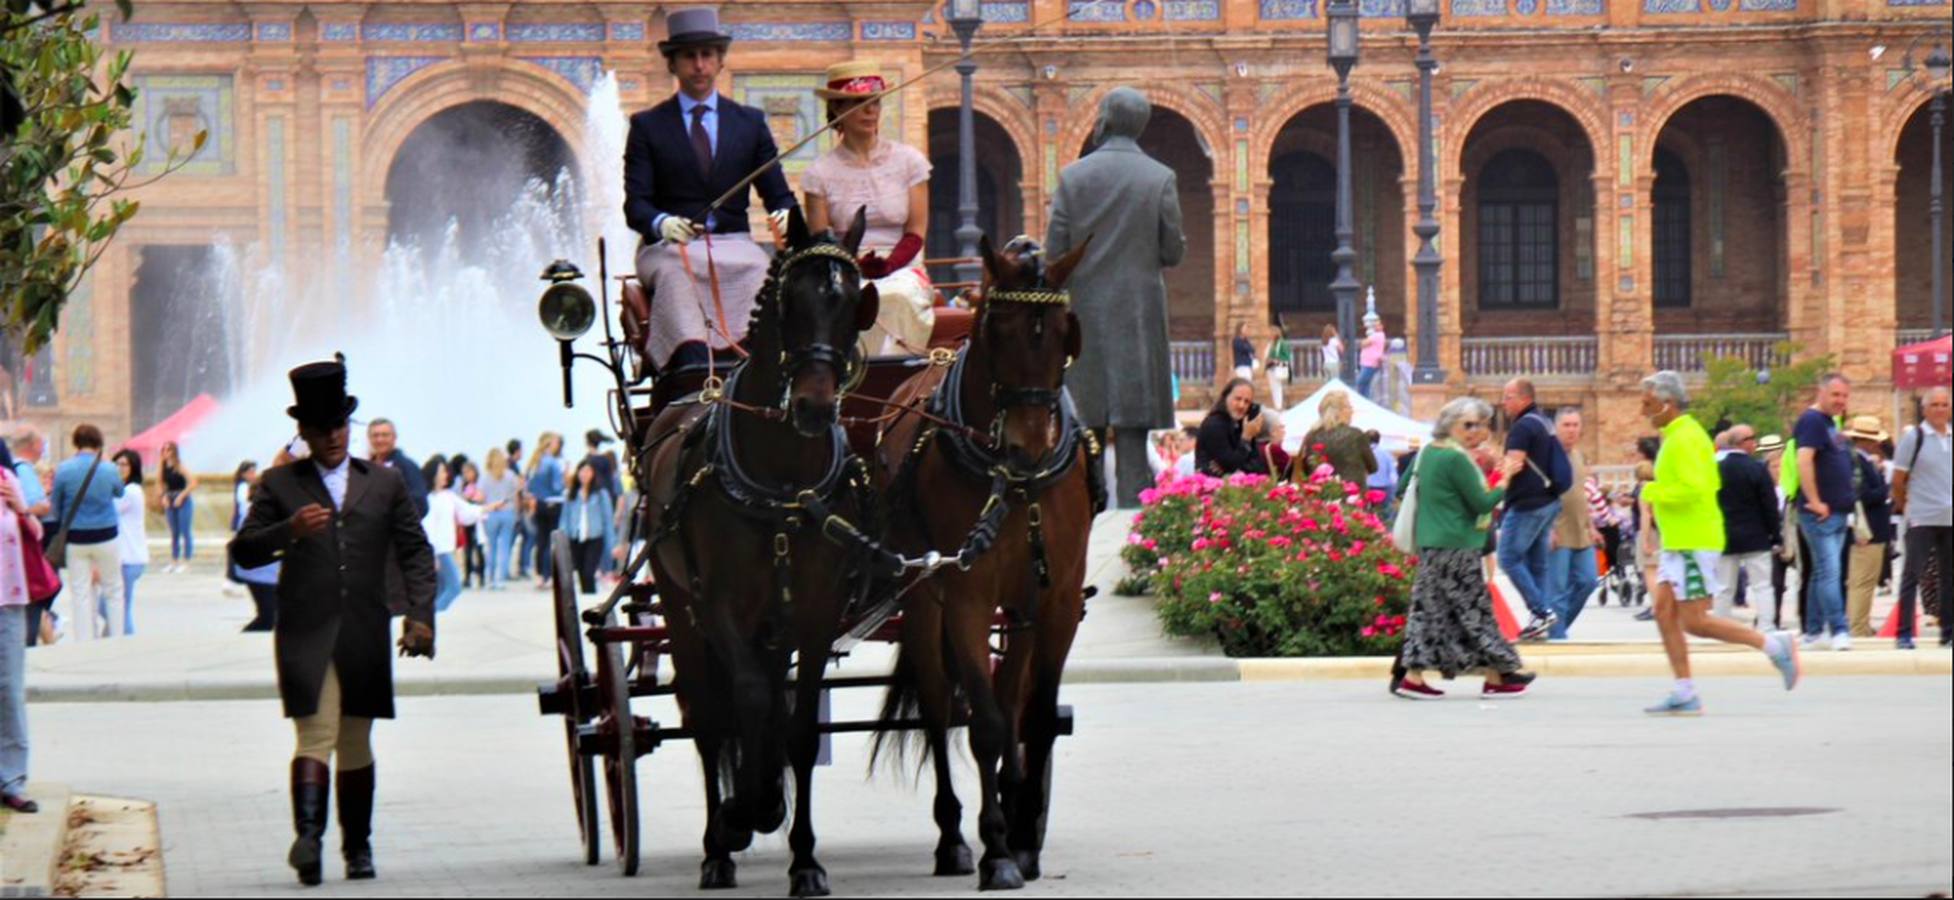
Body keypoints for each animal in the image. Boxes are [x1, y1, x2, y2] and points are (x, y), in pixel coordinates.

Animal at [640, 206, 879, 894]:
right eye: (790, 303)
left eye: (855, 304)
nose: (814, 407)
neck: (781, 476)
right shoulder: (718, 606)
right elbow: (742, 700)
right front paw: (741, 813)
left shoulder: (816, 612)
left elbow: (796, 727)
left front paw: (803, 857)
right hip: (678, 605)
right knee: (708, 715)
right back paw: (719, 844)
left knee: (767, 701)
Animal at [871, 235, 1102, 886]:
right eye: (997, 330)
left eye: (1064, 334)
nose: (1029, 445)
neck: (1015, 483)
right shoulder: (967, 597)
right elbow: (986, 723)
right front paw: (997, 848)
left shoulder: (1055, 599)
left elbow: (1034, 716)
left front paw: (1024, 837)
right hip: (924, 602)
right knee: (935, 702)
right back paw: (953, 837)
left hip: (1018, 609)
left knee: (1009, 691)